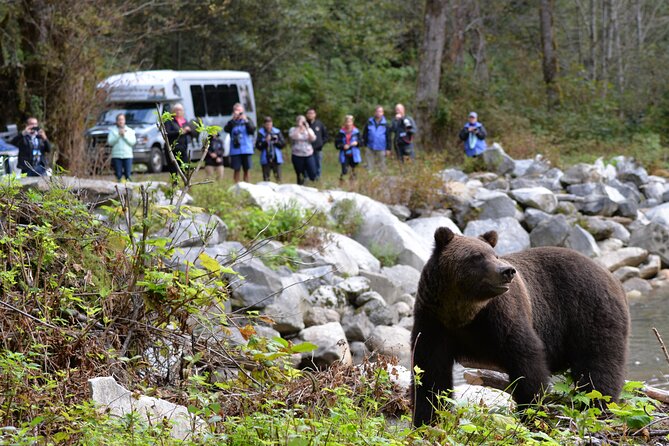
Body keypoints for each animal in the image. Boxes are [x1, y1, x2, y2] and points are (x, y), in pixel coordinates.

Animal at [410, 228, 628, 426]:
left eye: (495, 254)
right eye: (476, 256)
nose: (506, 271)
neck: (464, 313)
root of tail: (612, 277)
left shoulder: (502, 317)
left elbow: (526, 360)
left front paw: (532, 412)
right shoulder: (433, 322)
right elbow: (429, 372)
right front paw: (427, 419)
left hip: (590, 312)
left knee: (598, 367)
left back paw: (598, 408)